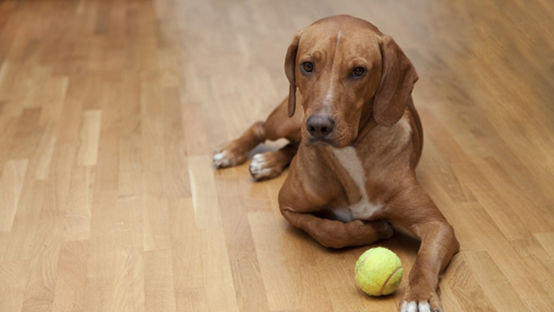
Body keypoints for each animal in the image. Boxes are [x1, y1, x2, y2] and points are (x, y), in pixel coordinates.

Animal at [211, 15, 458, 312]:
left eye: (359, 71)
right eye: (307, 66)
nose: (318, 126)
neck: (350, 154)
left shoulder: (437, 226)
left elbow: (426, 259)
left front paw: (419, 295)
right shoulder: (288, 205)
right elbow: (326, 231)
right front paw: (371, 229)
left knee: (291, 145)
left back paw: (269, 162)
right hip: (289, 118)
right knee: (261, 126)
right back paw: (232, 151)